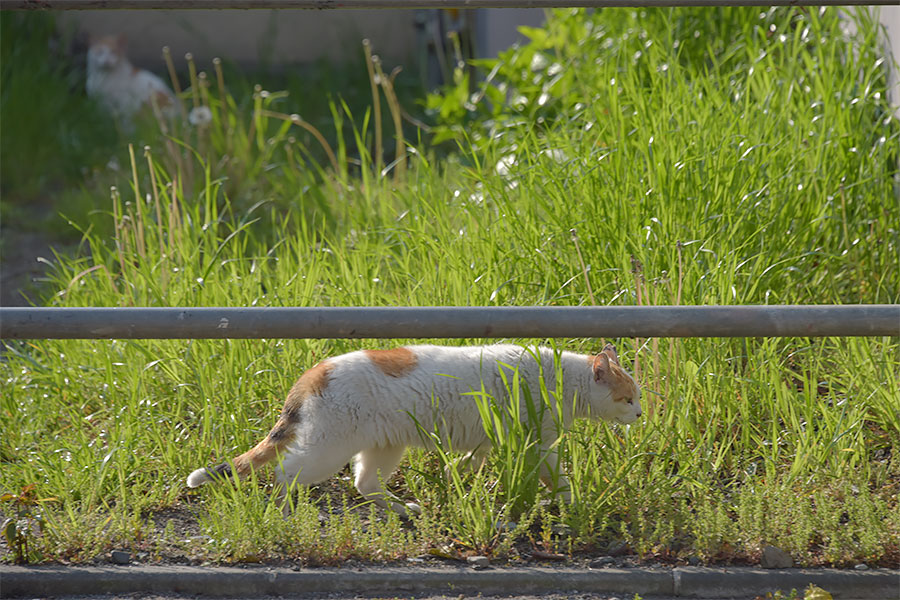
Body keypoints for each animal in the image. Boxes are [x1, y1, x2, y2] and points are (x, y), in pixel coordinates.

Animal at [186, 342, 644, 516]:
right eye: (628, 399)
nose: (640, 415)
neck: (561, 380)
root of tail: (315, 371)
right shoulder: (539, 444)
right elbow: (557, 478)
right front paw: (575, 502)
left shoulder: (488, 440)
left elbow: (467, 464)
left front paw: (455, 481)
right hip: (326, 449)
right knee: (285, 474)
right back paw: (281, 511)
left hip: (383, 446)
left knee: (364, 483)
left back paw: (404, 509)